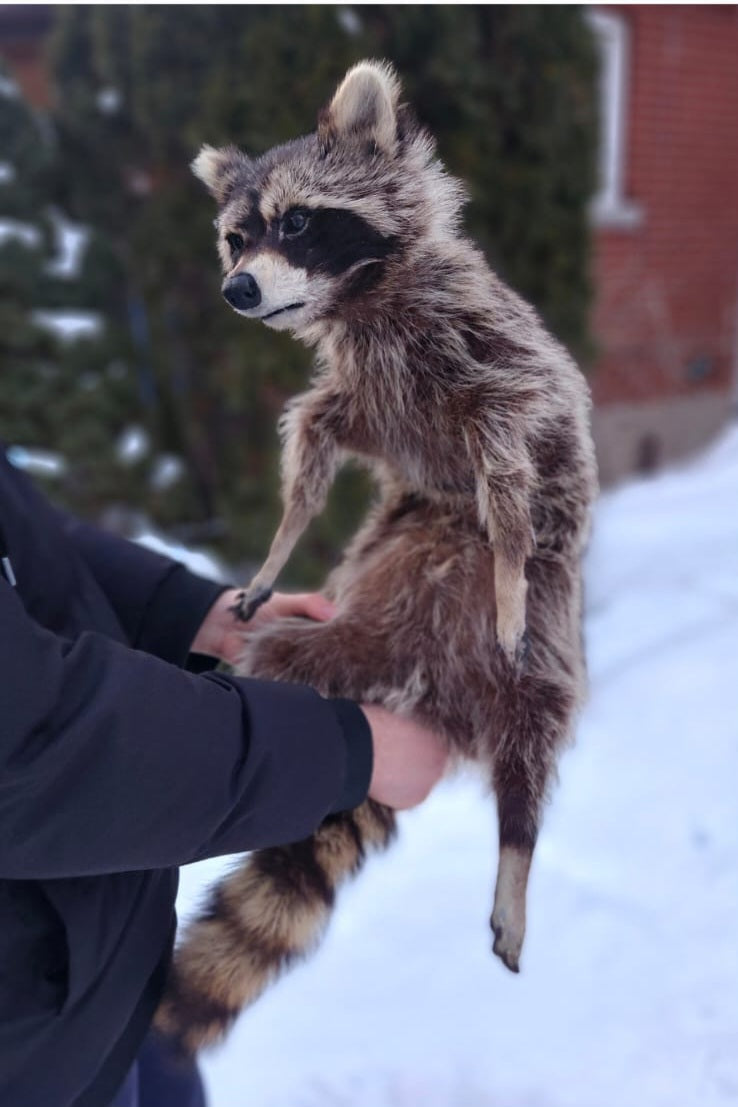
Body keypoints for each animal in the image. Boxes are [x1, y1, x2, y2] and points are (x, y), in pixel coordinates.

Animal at [155, 60, 598, 1053]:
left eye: (296, 222)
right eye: (234, 238)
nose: (238, 288)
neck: (358, 294)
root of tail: (419, 686)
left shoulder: (495, 365)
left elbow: (508, 474)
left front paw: (505, 564)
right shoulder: (361, 397)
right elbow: (312, 446)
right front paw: (279, 547)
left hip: (546, 650)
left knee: (534, 732)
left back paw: (519, 841)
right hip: (343, 634)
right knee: (285, 651)